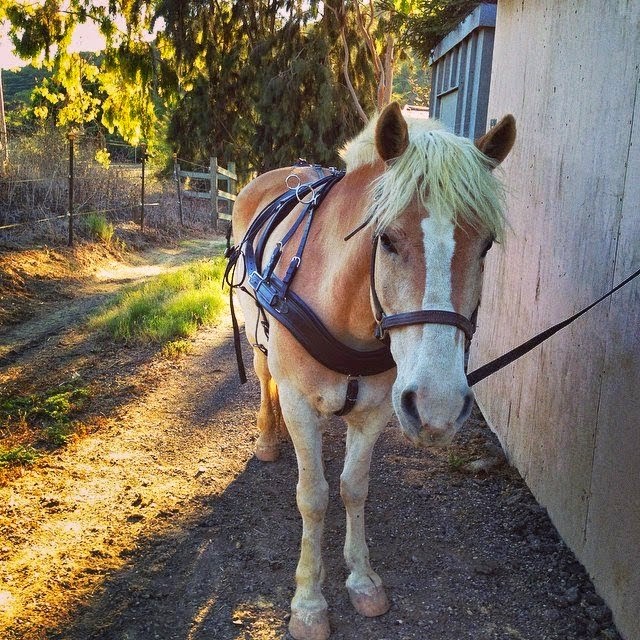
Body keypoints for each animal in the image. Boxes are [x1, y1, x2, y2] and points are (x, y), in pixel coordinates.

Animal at [229, 102, 516, 636]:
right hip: (256, 342)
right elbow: (313, 495)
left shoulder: (378, 409)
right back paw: (268, 437)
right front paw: (308, 601)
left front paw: (361, 579)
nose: (438, 406)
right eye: (386, 240)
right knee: (264, 378)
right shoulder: (300, 402)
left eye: (486, 245)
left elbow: (353, 488)